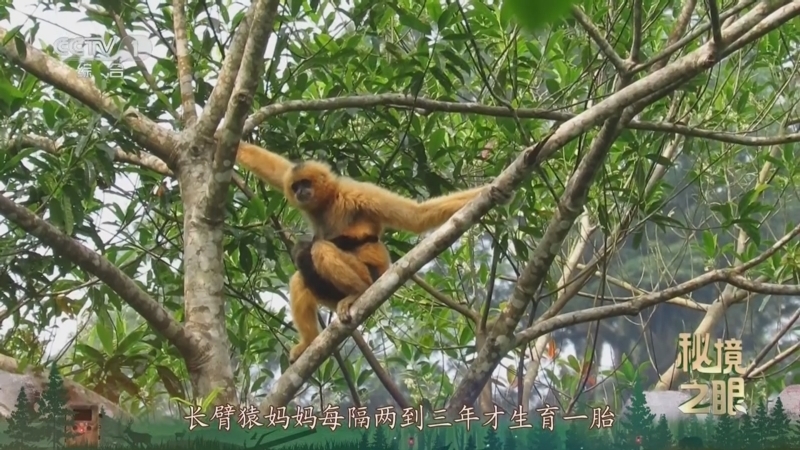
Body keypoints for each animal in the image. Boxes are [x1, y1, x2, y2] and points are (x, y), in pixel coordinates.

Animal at [235, 142, 504, 362]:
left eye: (306, 184)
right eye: (296, 185)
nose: (301, 191)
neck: (328, 201)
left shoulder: (353, 192)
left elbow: (416, 216)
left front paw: (493, 191)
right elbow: (276, 169)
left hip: (371, 275)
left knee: (316, 250)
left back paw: (357, 293)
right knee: (300, 277)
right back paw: (310, 342)